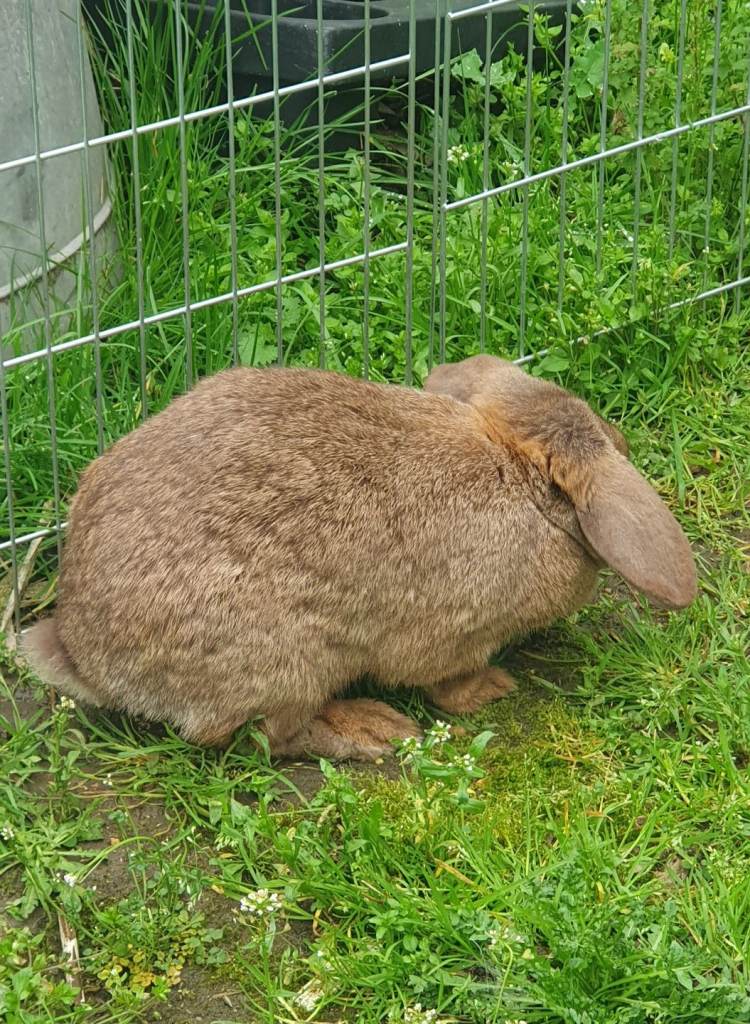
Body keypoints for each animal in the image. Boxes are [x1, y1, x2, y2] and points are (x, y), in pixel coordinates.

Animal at [22, 355, 696, 760]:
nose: (624, 440)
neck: (517, 471)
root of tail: (84, 655)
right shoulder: (454, 635)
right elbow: (446, 683)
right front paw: (490, 690)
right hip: (291, 662)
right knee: (267, 737)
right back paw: (374, 729)